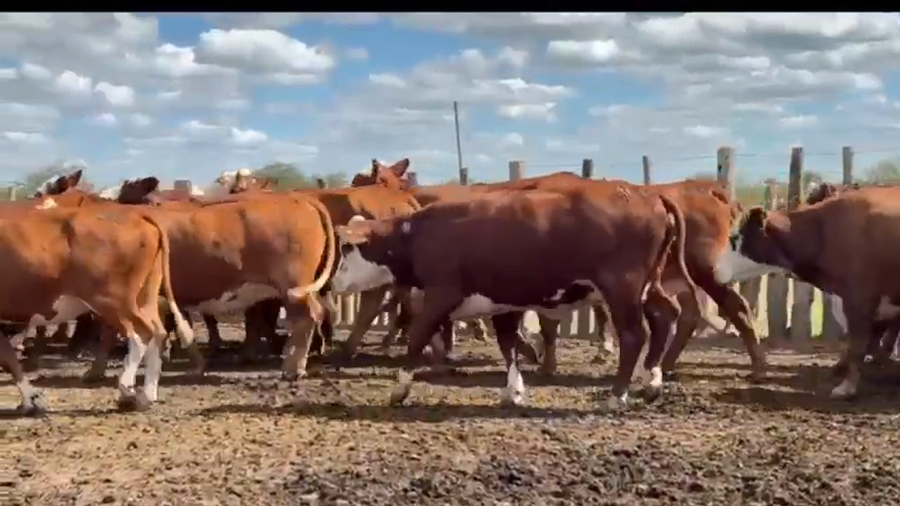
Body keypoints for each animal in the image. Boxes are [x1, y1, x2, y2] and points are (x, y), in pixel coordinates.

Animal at [0, 201, 193, 415]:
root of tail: (136, 214)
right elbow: (8, 356)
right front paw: (30, 399)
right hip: (145, 296)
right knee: (158, 333)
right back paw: (146, 396)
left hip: (113, 299)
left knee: (141, 333)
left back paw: (127, 390)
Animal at [330, 183, 703, 409]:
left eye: (347, 248)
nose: (333, 283)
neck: (418, 235)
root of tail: (647, 194)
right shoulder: (502, 304)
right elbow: (508, 345)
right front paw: (515, 390)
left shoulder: (440, 295)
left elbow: (417, 338)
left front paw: (400, 389)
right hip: (649, 286)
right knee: (664, 317)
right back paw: (652, 380)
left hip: (622, 289)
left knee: (634, 335)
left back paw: (617, 395)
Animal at [722, 185, 900, 399]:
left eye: (734, 240)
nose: (715, 267)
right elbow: (868, 343)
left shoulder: (859, 299)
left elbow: (859, 345)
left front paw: (846, 387)